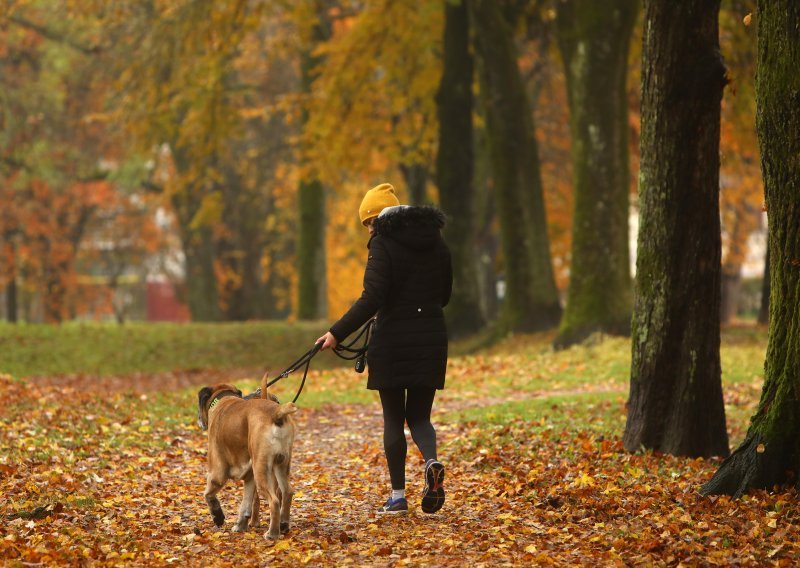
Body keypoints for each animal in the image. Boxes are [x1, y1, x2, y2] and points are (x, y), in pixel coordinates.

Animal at [198, 374, 298, 540]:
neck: (223, 401)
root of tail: (276, 413)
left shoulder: (217, 473)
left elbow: (208, 494)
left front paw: (218, 516)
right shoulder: (250, 478)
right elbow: (246, 505)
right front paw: (240, 525)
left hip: (261, 470)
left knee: (274, 501)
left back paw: (272, 534)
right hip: (281, 465)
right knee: (287, 492)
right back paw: (283, 524)